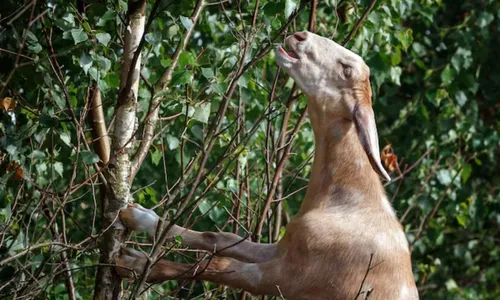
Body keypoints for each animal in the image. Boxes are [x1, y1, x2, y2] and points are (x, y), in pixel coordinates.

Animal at [116, 31, 418, 298]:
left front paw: (131, 264)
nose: (299, 36)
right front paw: (139, 216)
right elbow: (218, 237)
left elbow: (215, 266)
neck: (350, 201)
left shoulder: (289, 277)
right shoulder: (282, 248)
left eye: (346, 70)